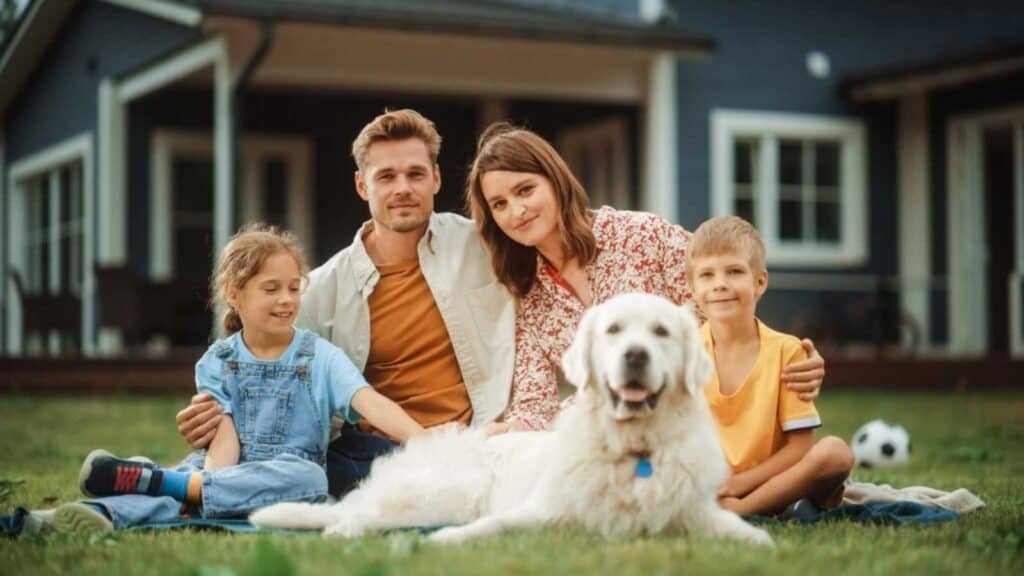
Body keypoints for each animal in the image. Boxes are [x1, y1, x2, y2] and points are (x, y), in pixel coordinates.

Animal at [251, 291, 770, 541]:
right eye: (614, 330)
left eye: (661, 332)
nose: (635, 355)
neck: (633, 449)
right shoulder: (540, 510)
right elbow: (491, 527)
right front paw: (447, 543)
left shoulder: (694, 513)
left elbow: (751, 537)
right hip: (443, 494)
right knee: (359, 512)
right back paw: (343, 530)